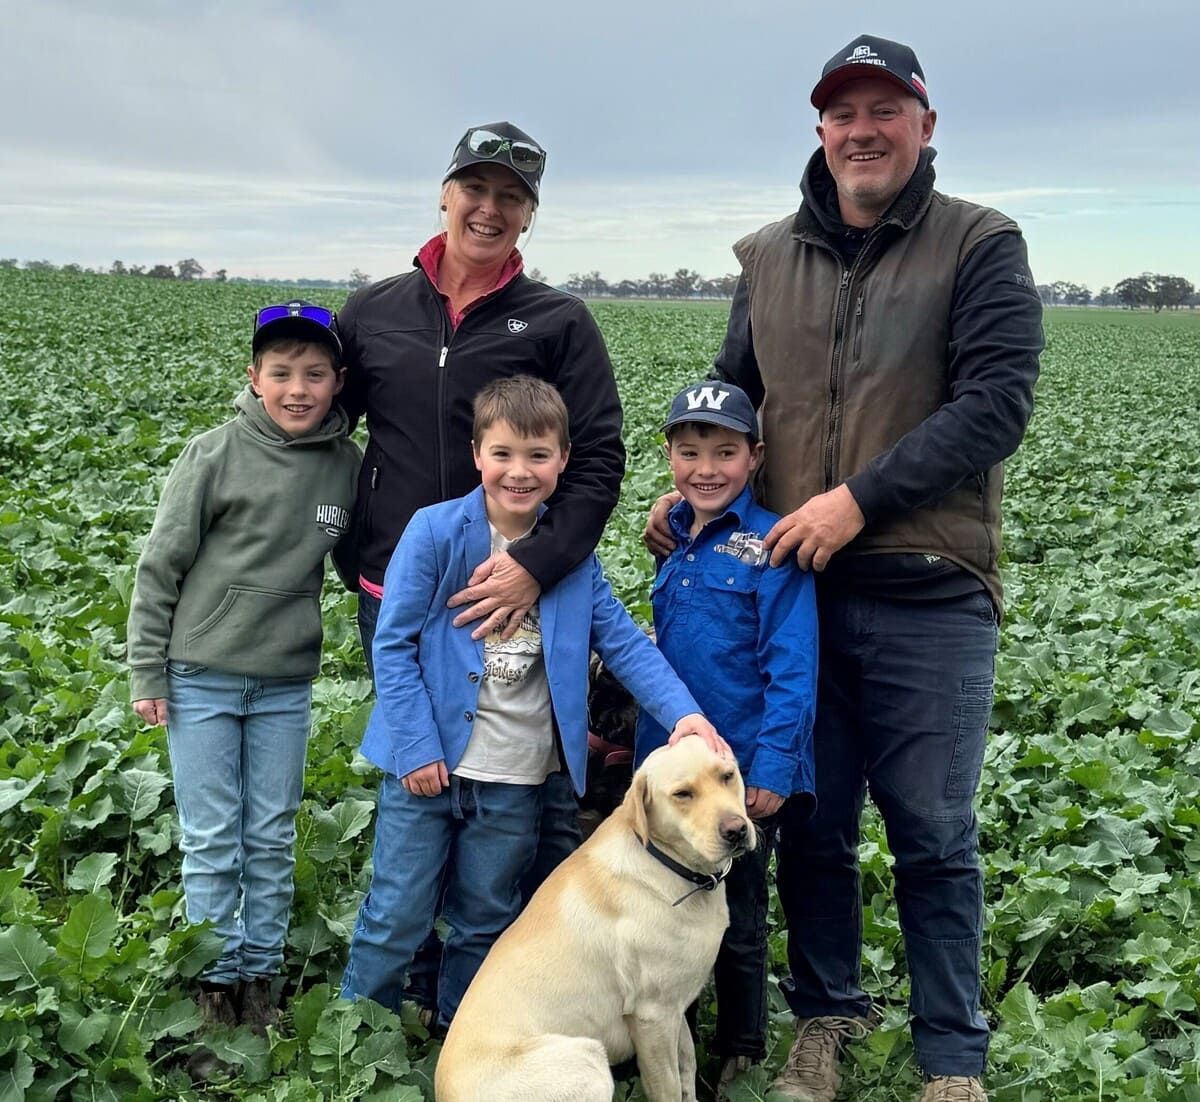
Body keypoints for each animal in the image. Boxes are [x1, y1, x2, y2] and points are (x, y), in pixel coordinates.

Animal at [434, 739, 748, 1102]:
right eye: (682, 794)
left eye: (727, 776)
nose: (737, 830)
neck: (667, 862)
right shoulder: (652, 1016)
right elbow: (667, 1087)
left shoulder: (675, 1005)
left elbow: (687, 1066)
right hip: (587, 1057)